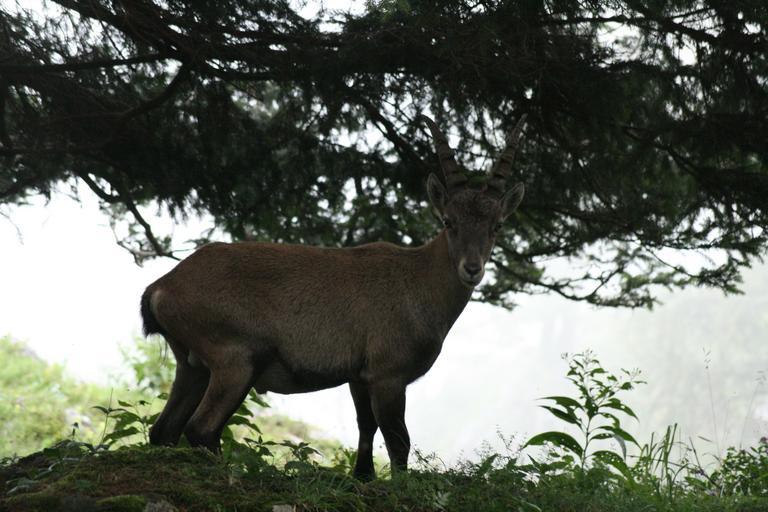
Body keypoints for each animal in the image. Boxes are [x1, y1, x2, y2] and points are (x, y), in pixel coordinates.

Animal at [141, 114, 526, 480]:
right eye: (448, 221)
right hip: (235, 359)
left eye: (497, 225)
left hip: (192, 365)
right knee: (201, 428)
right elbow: (398, 440)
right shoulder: (388, 375)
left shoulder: (359, 376)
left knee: (164, 429)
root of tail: (161, 287)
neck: (417, 281)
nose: (472, 269)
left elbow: (366, 427)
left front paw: (362, 476)